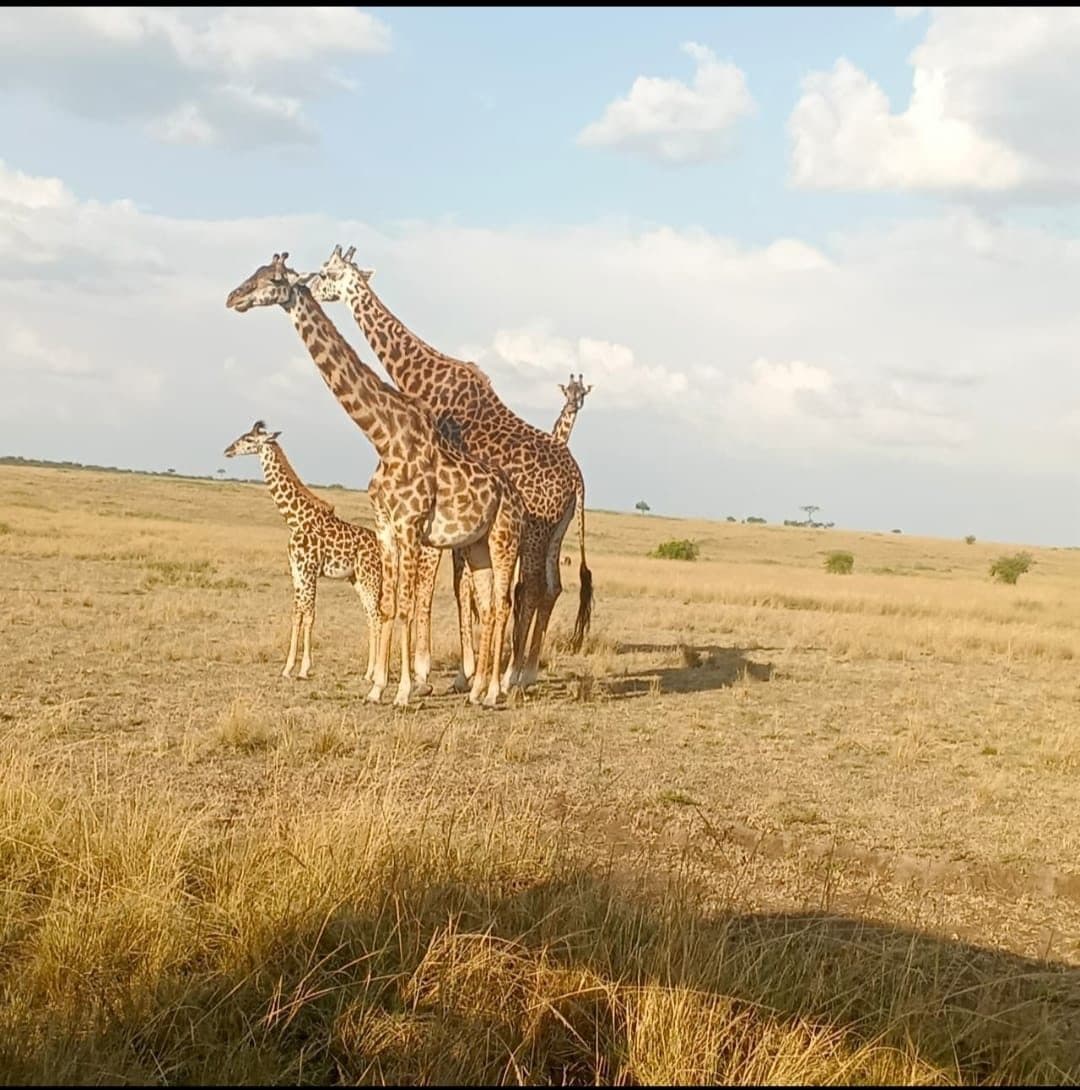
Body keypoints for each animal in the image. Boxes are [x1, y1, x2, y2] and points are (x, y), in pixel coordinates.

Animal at [224, 419, 382, 682]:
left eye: (248, 440)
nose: (228, 450)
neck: (294, 518)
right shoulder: (296, 571)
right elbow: (296, 614)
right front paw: (287, 668)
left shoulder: (308, 570)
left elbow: (309, 615)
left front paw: (305, 668)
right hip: (357, 579)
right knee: (371, 616)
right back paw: (368, 672)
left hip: (372, 577)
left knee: (378, 615)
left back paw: (376, 674)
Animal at [305, 245, 593, 694]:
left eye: (328, 272)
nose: (308, 283)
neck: (421, 379)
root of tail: (578, 479)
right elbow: (464, 592)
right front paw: (461, 673)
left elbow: (435, 587)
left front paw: (426, 674)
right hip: (555, 533)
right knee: (550, 588)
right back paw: (525, 671)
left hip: (535, 530)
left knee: (529, 589)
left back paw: (510, 676)